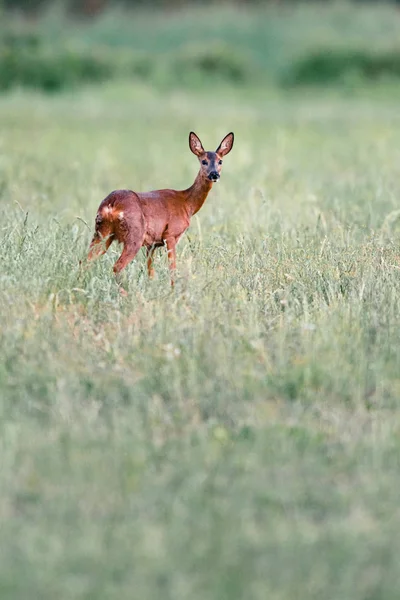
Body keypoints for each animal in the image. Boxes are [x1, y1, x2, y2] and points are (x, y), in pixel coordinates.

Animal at [86, 132, 233, 288]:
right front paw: (173, 290)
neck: (187, 203)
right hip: (134, 235)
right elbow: (172, 268)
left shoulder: (152, 244)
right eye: (204, 161)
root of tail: (111, 205)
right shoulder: (171, 234)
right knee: (116, 266)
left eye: (220, 161)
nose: (214, 174)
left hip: (102, 232)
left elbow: (150, 271)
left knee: (85, 261)